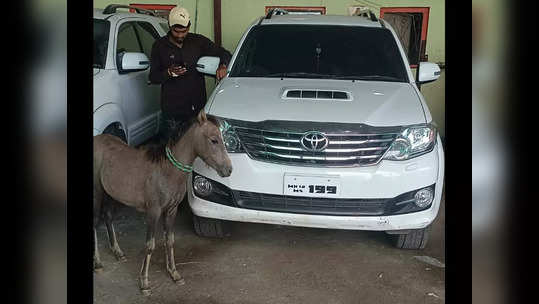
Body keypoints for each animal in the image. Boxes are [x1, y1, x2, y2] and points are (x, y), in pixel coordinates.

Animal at [94, 111, 233, 294]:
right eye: (214, 140)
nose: (228, 169)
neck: (168, 171)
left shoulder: (171, 210)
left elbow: (170, 240)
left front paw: (174, 273)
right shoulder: (153, 212)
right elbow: (150, 245)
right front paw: (144, 282)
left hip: (110, 193)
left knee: (108, 216)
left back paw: (118, 252)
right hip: (97, 192)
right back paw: (98, 264)